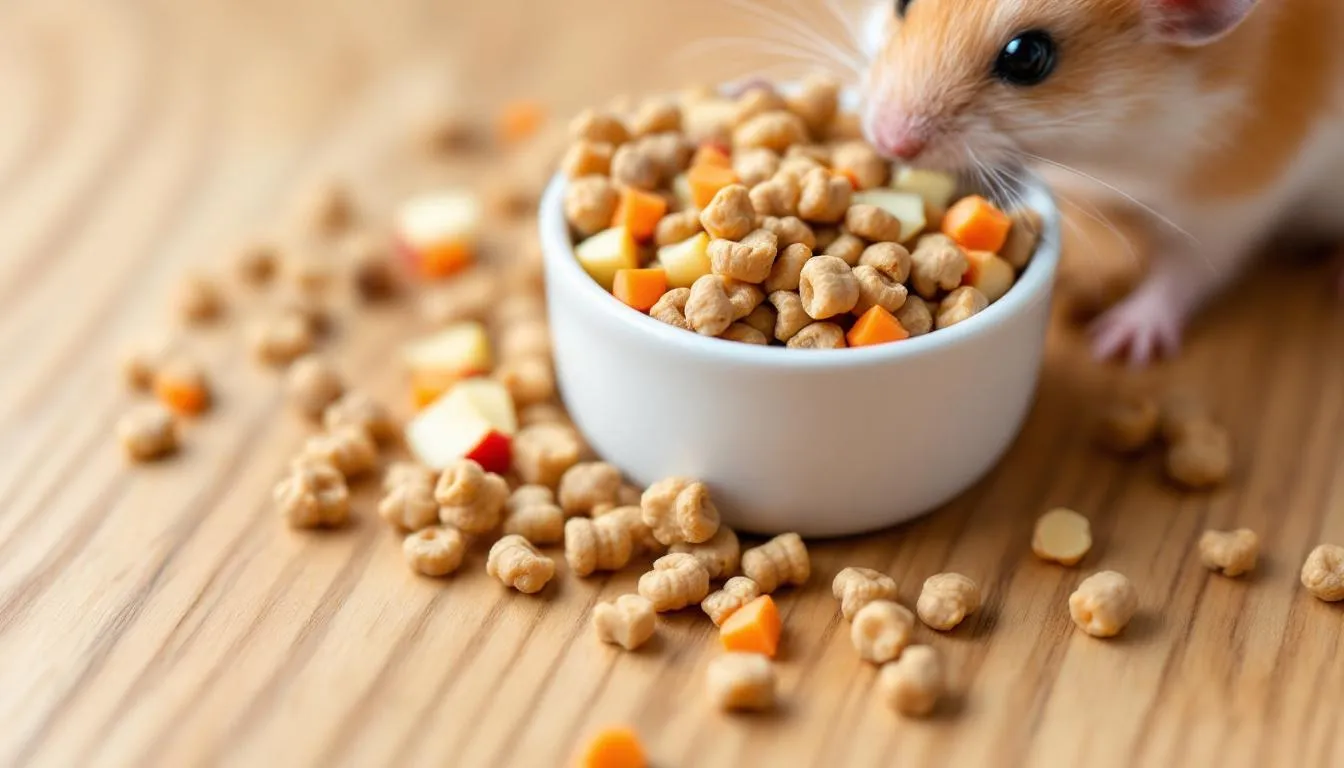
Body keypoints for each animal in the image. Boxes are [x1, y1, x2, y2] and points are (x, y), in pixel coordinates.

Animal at [859, 0, 1344, 363]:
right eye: (901, 3)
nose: (886, 141)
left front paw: (1117, 341)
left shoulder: (1235, 188)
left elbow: (1189, 264)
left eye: (1026, 56)